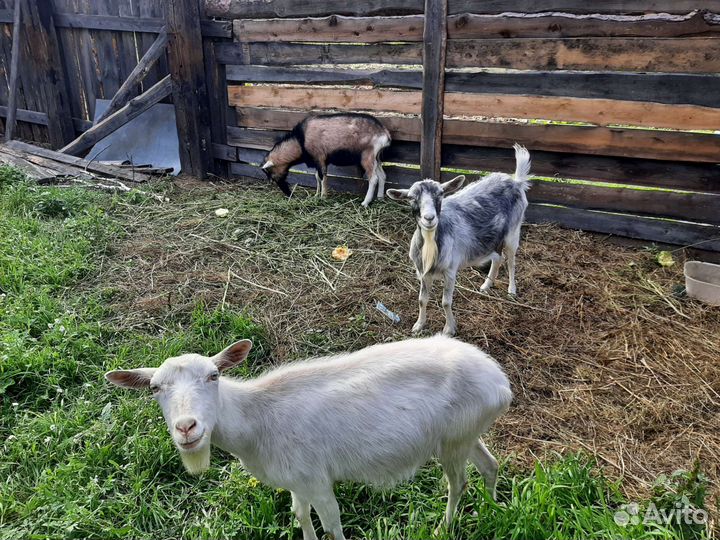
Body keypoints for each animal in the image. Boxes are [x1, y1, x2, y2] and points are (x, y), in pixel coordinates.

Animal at [106, 335, 512, 540]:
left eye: (214, 376)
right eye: (155, 388)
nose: (187, 427)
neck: (256, 420)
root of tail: (501, 383)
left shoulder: (317, 480)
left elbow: (332, 524)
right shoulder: (296, 481)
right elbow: (300, 515)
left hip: (454, 441)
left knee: (458, 483)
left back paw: (445, 526)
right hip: (463, 434)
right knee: (489, 465)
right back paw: (493, 508)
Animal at [260, 112, 391, 207]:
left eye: (272, 175)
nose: (288, 193)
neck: (300, 140)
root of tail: (384, 134)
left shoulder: (320, 157)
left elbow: (322, 177)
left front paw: (323, 197)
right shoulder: (318, 161)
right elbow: (317, 177)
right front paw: (316, 195)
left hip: (367, 156)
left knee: (373, 178)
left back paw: (365, 203)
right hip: (376, 157)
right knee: (382, 175)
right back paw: (380, 197)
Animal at [387, 144, 531, 336]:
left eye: (441, 194)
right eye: (411, 197)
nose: (429, 218)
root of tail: (516, 181)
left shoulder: (450, 271)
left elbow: (446, 302)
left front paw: (449, 329)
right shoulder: (423, 272)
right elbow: (422, 299)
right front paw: (418, 325)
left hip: (513, 233)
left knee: (511, 262)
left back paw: (512, 291)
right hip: (492, 240)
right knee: (498, 258)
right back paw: (486, 285)